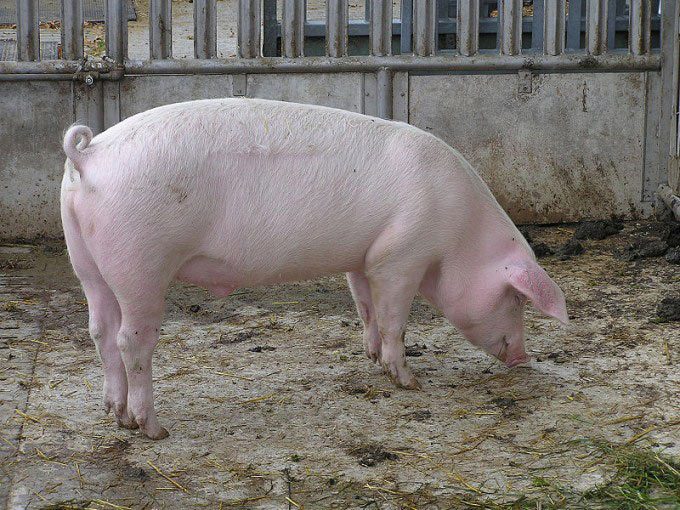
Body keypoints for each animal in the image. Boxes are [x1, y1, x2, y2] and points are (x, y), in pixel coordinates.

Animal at [59, 98, 568, 438]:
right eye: (516, 300)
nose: (523, 358)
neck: (459, 232)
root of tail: (88, 154)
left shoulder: (363, 258)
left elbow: (365, 308)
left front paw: (371, 358)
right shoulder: (400, 256)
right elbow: (395, 319)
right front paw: (409, 381)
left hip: (87, 263)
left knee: (100, 330)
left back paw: (116, 415)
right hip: (140, 264)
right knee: (131, 341)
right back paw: (153, 429)